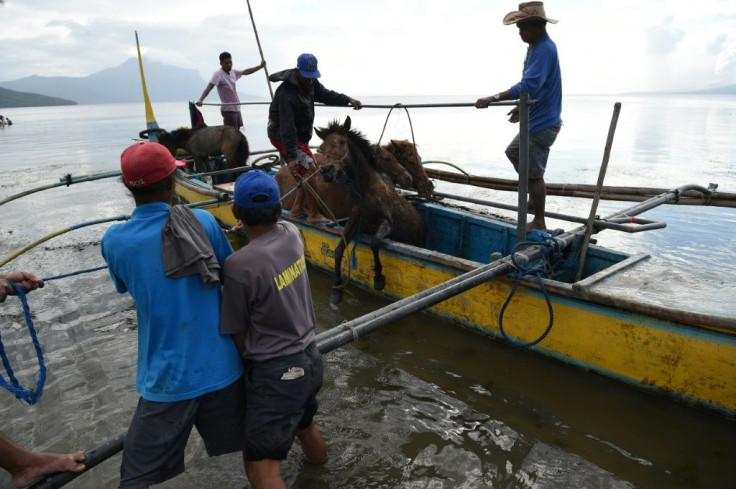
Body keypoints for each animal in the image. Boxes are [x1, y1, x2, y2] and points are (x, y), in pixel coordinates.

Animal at [314, 116, 426, 304]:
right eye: (321, 148)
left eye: (342, 142)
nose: (326, 171)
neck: (366, 191)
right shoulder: (354, 221)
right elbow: (338, 250)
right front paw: (336, 289)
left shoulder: (386, 223)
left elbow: (374, 242)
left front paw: (379, 279)